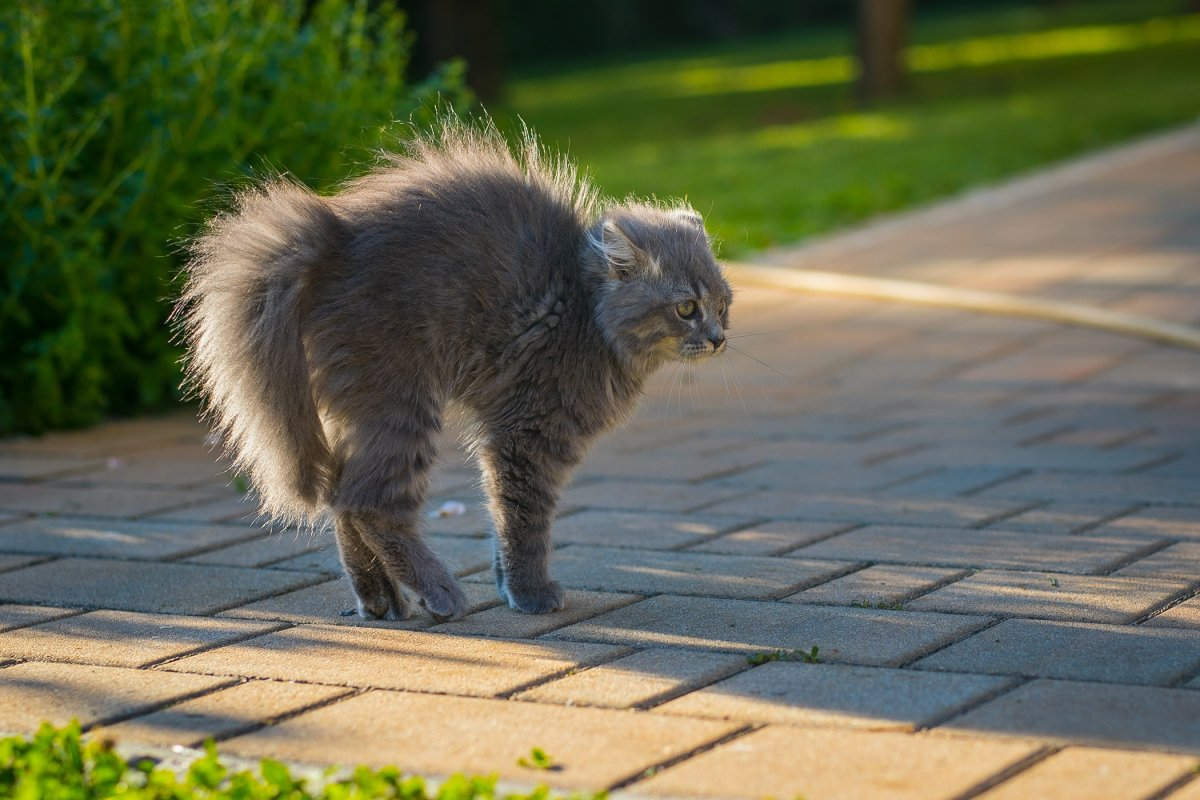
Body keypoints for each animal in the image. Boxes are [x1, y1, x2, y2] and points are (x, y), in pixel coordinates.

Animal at [177, 123, 729, 623]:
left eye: (724, 304)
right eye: (686, 308)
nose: (719, 337)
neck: (587, 315)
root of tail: (333, 238)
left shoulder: (505, 431)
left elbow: (500, 514)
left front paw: (507, 584)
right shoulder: (529, 433)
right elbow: (525, 519)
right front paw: (531, 593)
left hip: (356, 403)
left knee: (342, 497)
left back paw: (381, 601)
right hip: (402, 397)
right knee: (371, 503)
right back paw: (439, 593)